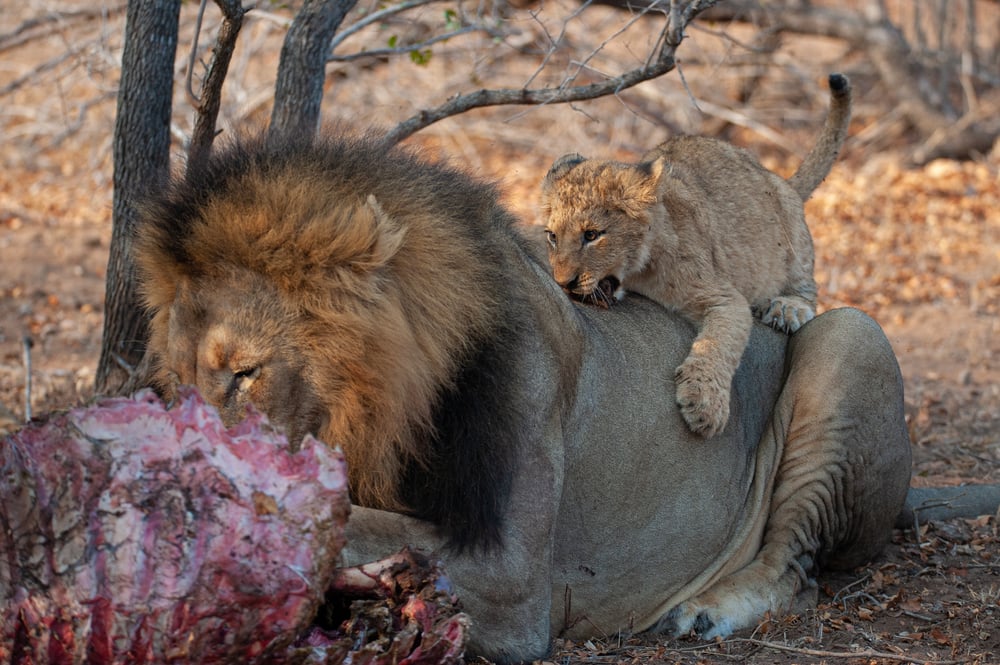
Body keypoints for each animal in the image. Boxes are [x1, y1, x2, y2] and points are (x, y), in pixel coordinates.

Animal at [134, 129, 911, 663]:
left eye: (245, 372)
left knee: (797, 567)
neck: (383, 412)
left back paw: (705, 609)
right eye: (177, 381)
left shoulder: (511, 580)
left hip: (854, 335)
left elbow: (353, 521)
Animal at [539, 74, 852, 438]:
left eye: (592, 235)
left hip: (792, 230)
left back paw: (787, 308)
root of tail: (775, 176)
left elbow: (717, 344)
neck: (640, 271)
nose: (564, 283)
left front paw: (704, 404)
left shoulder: (724, 297)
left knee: (807, 288)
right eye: (552, 237)